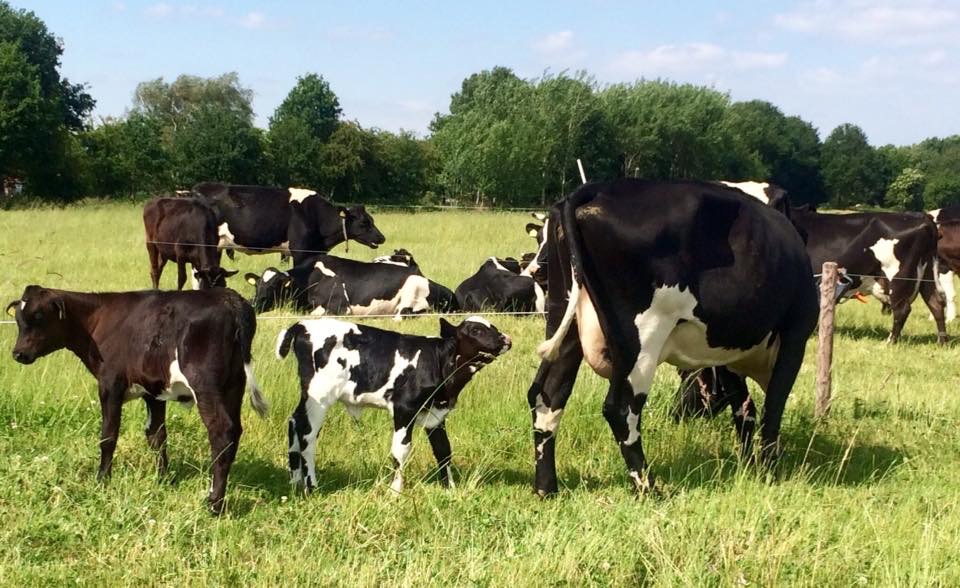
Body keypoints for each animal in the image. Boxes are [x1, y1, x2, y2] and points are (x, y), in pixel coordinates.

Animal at [5, 286, 268, 516]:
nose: (18, 353)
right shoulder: (154, 391)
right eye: (18, 319)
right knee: (234, 431)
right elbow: (157, 436)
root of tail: (229, 298)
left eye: (39, 317)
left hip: (206, 384)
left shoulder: (110, 384)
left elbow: (108, 436)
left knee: (221, 431)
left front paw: (102, 479)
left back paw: (214, 503)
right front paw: (163, 479)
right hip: (234, 385)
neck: (97, 321)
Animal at [274, 316, 512, 492]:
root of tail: (301, 325)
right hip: (319, 397)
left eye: (493, 326)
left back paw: (295, 481)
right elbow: (401, 449)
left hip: (308, 398)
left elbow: (444, 450)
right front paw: (396, 490)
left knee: (294, 421)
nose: (507, 340)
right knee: (307, 434)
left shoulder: (435, 414)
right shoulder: (404, 408)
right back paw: (311, 486)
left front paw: (450, 488)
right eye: (476, 330)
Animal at [524, 179, 816, 496]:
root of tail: (596, 189)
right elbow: (773, 408)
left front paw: (750, 463)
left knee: (547, 396)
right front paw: (769, 470)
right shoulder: (795, 336)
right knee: (621, 409)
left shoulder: (725, 350)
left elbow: (744, 409)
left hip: (564, 321)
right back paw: (648, 487)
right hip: (642, 338)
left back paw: (547, 487)